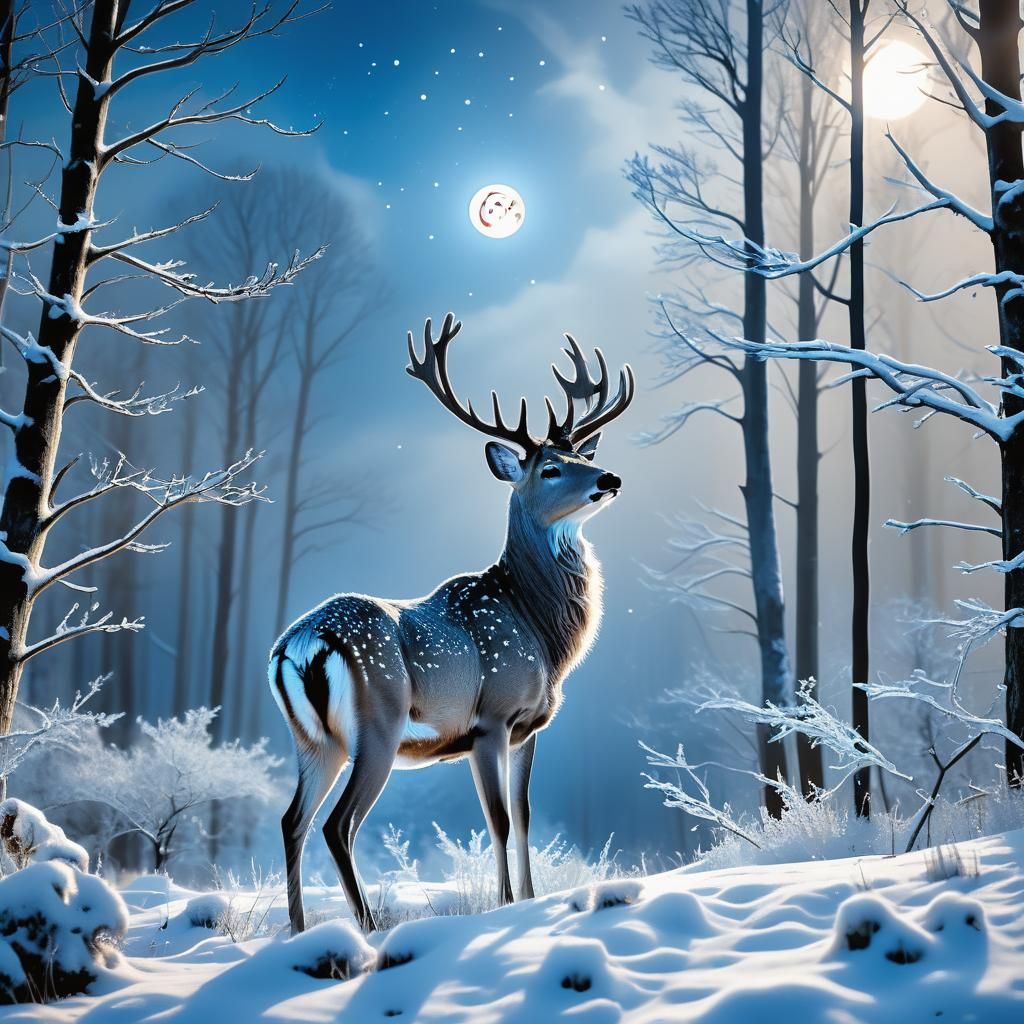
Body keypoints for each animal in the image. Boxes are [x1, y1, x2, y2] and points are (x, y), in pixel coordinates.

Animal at [269, 312, 634, 934]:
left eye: (583, 458)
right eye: (551, 468)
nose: (607, 478)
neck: (540, 632)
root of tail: (301, 645)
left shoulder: (529, 729)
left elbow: (526, 815)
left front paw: (530, 899)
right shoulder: (491, 718)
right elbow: (499, 820)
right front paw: (506, 906)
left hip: (315, 740)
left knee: (293, 819)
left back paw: (299, 931)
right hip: (379, 724)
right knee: (337, 824)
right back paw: (367, 925)